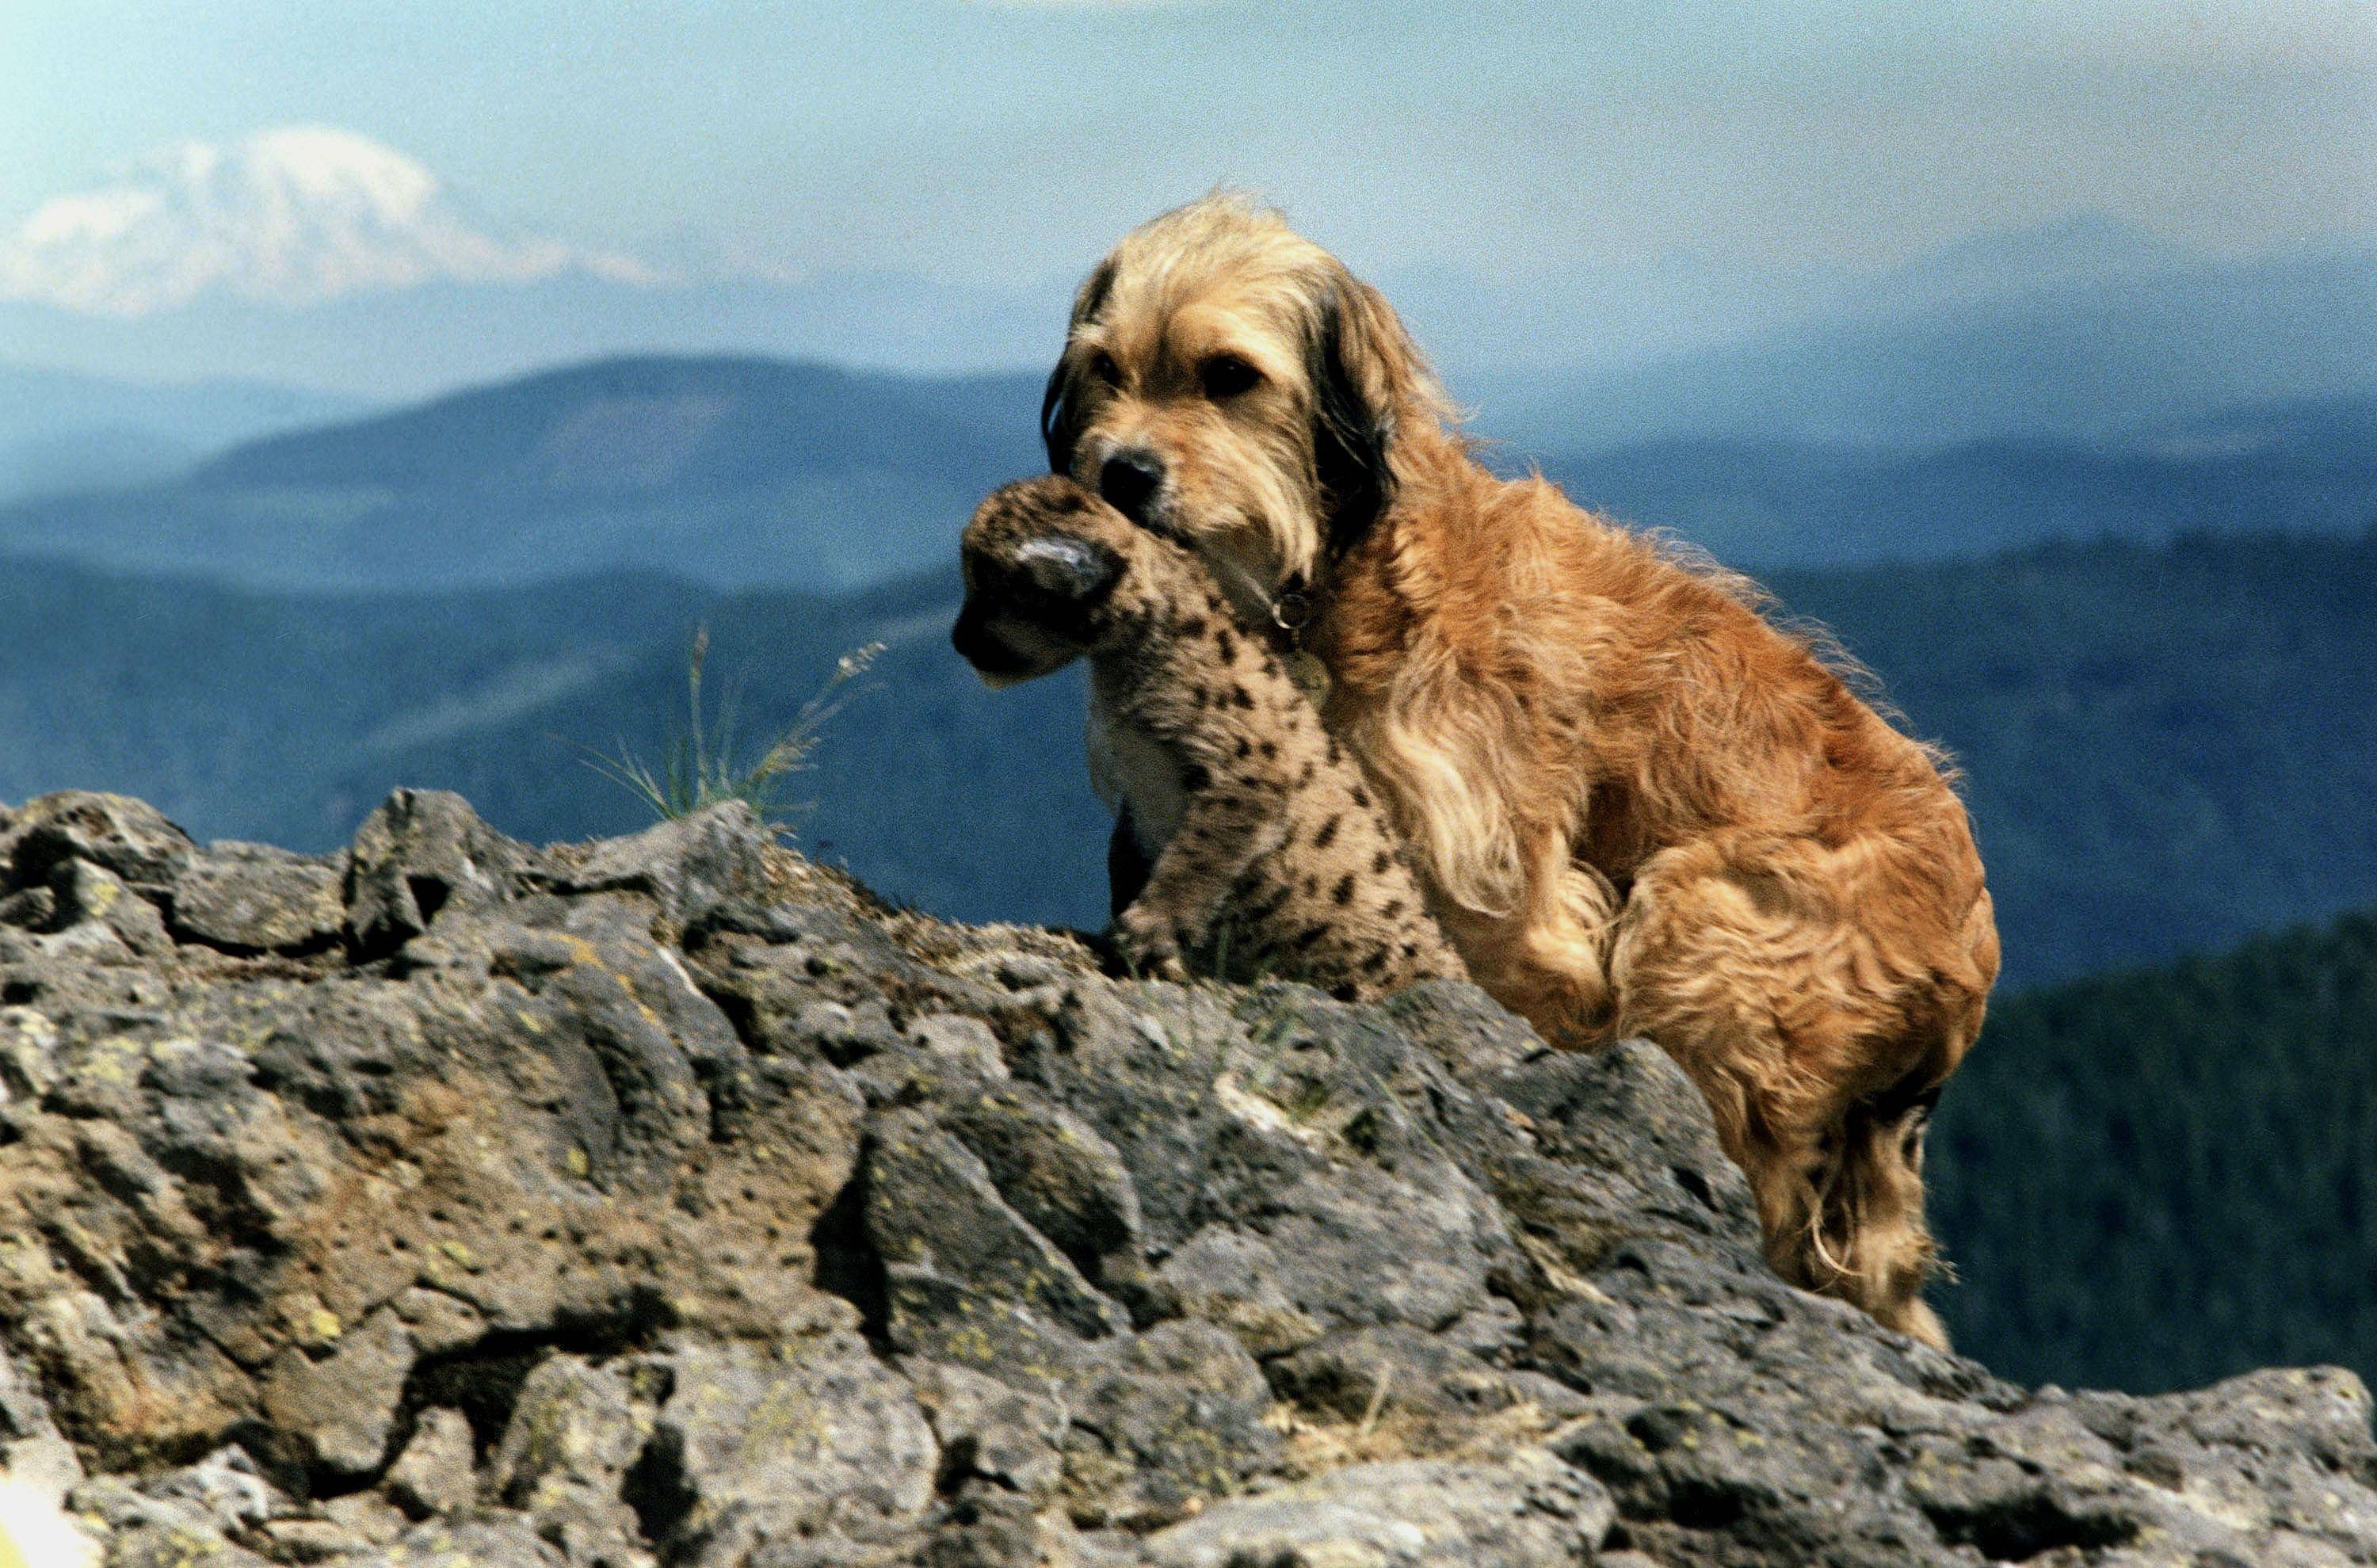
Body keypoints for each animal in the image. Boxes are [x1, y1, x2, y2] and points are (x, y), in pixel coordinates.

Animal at [1051, 192, 1997, 1349]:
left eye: (1229, 374)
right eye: (1106, 368)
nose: (1119, 472)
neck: (1336, 573)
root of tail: (1974, 953)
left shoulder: (1497, 880)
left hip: (1707, 925)